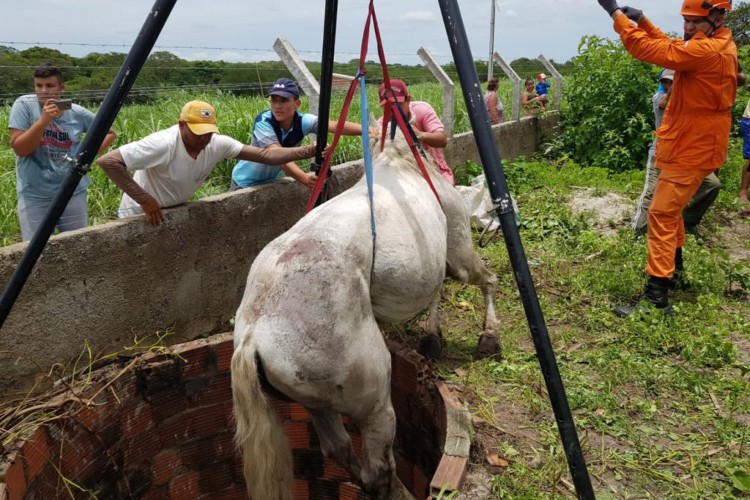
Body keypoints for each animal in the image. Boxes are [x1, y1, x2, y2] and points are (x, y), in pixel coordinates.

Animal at [232, 129, 496, 500]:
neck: (401, 162)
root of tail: (253, 335)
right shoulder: (457, 249)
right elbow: (484, 279)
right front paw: (489, 335)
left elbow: (436, 291)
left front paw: (433, 338)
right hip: (373, 403)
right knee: (378, 468)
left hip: (316, 402)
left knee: (338, 448)